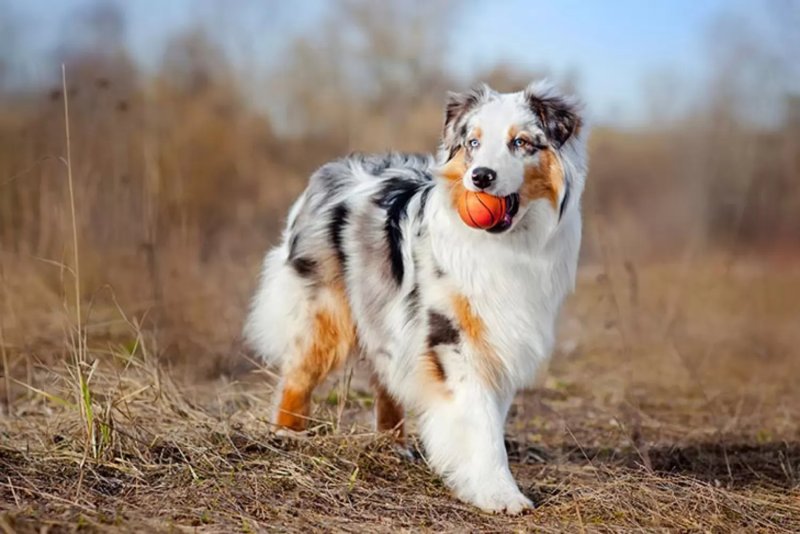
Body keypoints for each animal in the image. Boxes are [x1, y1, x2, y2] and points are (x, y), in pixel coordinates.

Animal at [244, 80, 588, 516]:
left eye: (521, 142)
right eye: (473, 143)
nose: (480, 177)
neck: (507, 245)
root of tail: (330, 171)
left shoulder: (499, 338)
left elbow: (490, 417)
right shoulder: (452, 338)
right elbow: (480, 422)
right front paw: (499, 494)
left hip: (386, 315)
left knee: (385, 377)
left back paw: (393, 445)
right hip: (327, 313)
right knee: (298, 374)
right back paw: (287, 435)